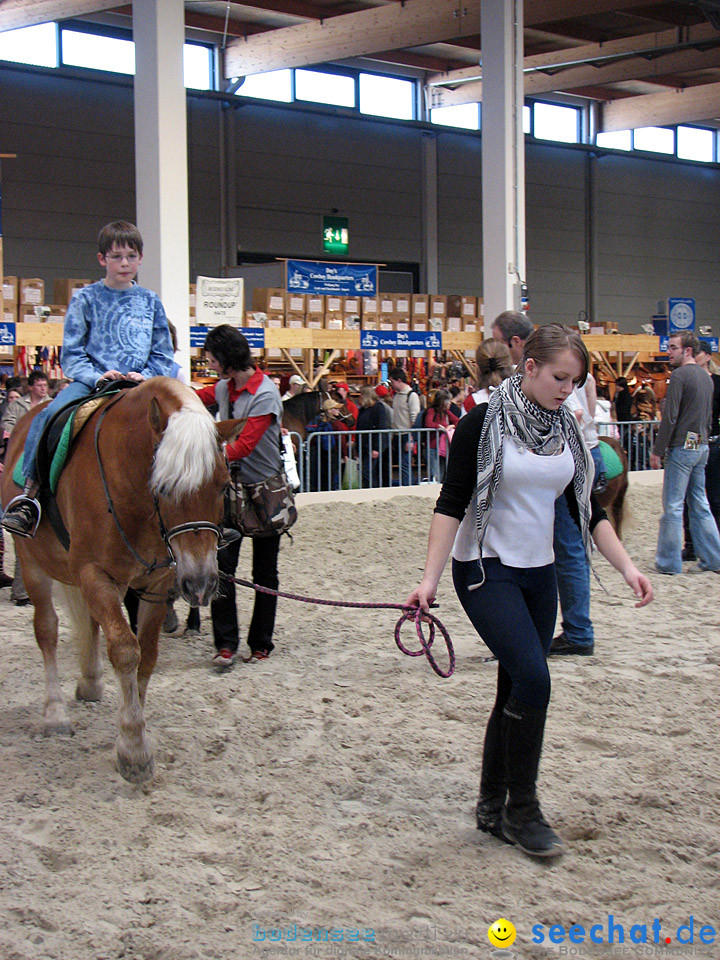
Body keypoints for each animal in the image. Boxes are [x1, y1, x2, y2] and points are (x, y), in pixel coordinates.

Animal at [0, 378, 243, 784]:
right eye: (162, 486)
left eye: (224, 485)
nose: (201, 584)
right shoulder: (94, 574)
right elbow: (127, 651)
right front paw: (132, 748)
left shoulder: (158, 583)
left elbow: (148, 654)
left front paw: (136, 726)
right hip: (33, 562)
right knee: (47, 630)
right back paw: (54, 713)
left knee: (90, 625)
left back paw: (91, 682)